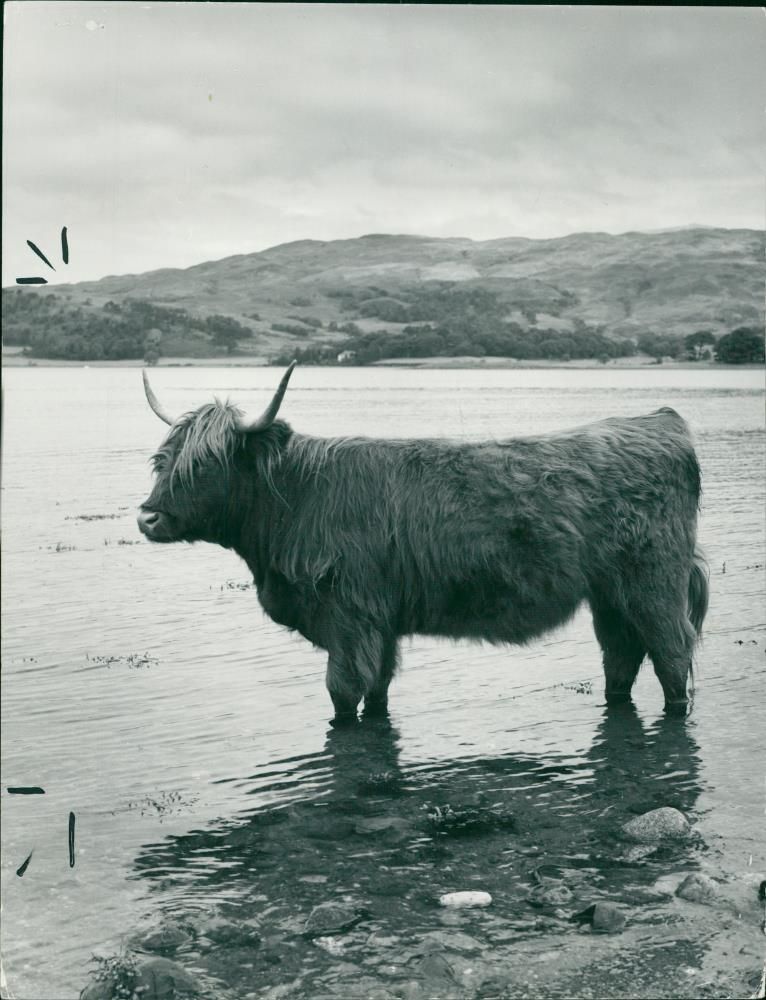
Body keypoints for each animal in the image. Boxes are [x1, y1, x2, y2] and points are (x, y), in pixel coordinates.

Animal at [138, 364, 708, 724]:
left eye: (204, 464)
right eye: (161, 460)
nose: (147, 517)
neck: (296, 498)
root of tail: (661, 420)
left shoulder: (349, 617)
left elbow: (343, 692)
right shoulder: (380, 623)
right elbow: (378, 690)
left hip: (654, 584)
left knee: (672, 656)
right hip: (611, 594)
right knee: (621, 657)